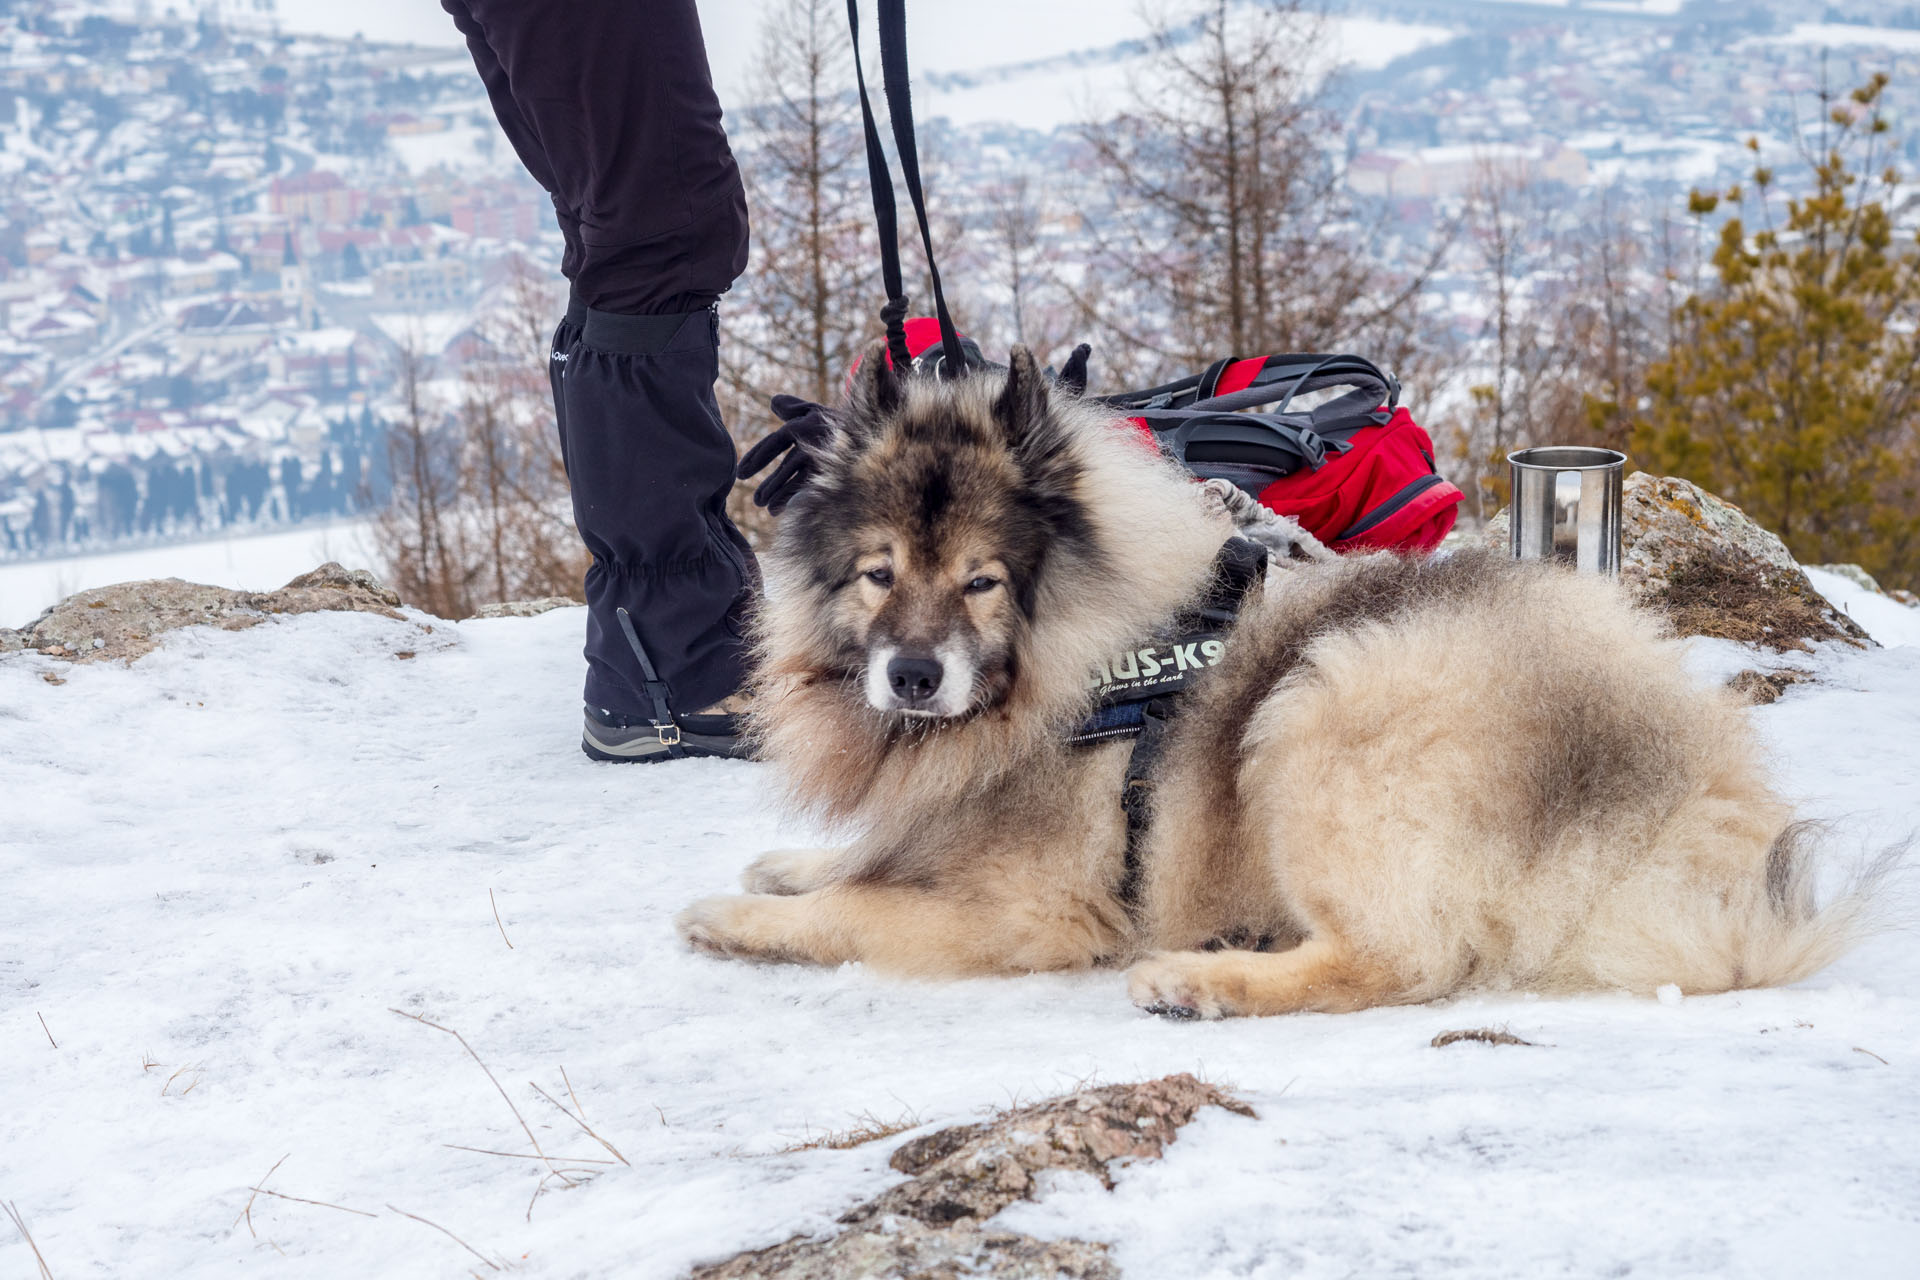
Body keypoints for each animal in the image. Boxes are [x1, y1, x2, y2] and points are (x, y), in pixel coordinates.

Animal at [672, 343, 1858, 1020]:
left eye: (982, 581)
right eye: (879, 573)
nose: (912, 677)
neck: (1071, 662)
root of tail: (1669, 800)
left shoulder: (1031, 907)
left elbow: (854, 909)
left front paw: (739, 913)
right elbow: (862, 859)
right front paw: (789, 865)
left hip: (1330, 701)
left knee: (1401, 960)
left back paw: (1201, 981)